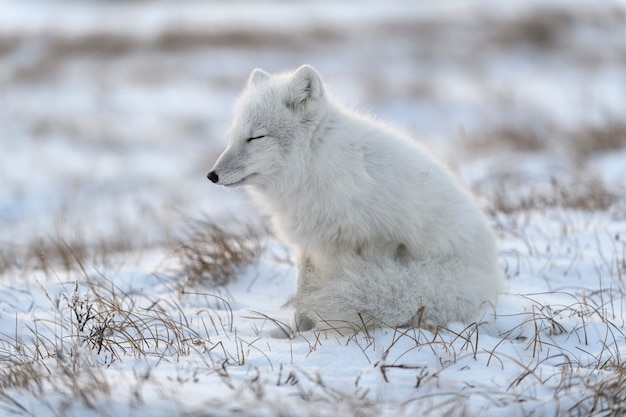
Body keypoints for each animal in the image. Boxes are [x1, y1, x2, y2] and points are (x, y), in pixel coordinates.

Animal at [207, 65, 500, 332]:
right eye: (233, 136)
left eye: (256, 137)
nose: (211, 175)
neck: (315, 171)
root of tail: (486, 280)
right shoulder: (309, 244)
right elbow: (302, 292)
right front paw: (298, 333)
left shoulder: (382, 241)